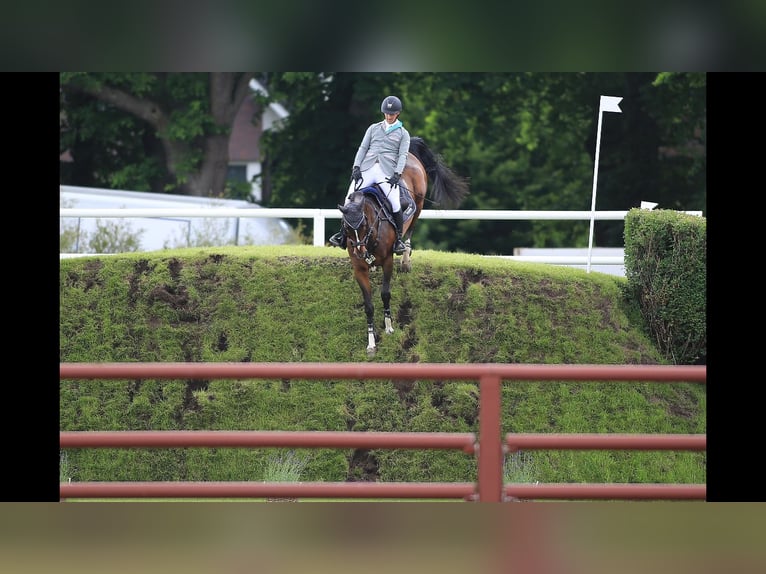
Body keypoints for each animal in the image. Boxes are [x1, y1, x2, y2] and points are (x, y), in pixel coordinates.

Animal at [340, 137, 472, 358]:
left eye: (364, 223)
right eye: (346, 227)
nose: (360, 251)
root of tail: (409, 154)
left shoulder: (387, 261)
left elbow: (385, 293)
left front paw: (389, 327)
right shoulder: (358, 268)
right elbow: (368, 305)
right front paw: (371, 343)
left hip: (418, 202)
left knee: (410, 228)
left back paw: (406, 258)